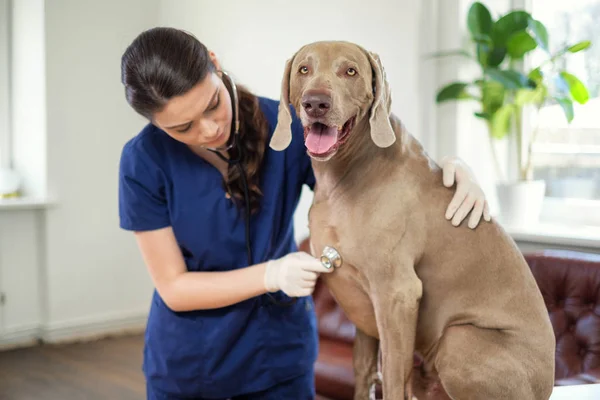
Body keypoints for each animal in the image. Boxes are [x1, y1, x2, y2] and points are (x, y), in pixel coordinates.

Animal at [270, 41, 556, 400]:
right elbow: (364, 371)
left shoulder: (397, 294)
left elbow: (393, 376)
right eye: (303, 69)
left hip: (459, 340)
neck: (346, 171)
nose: (316, 102)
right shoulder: (363, 306)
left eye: (350, 71)